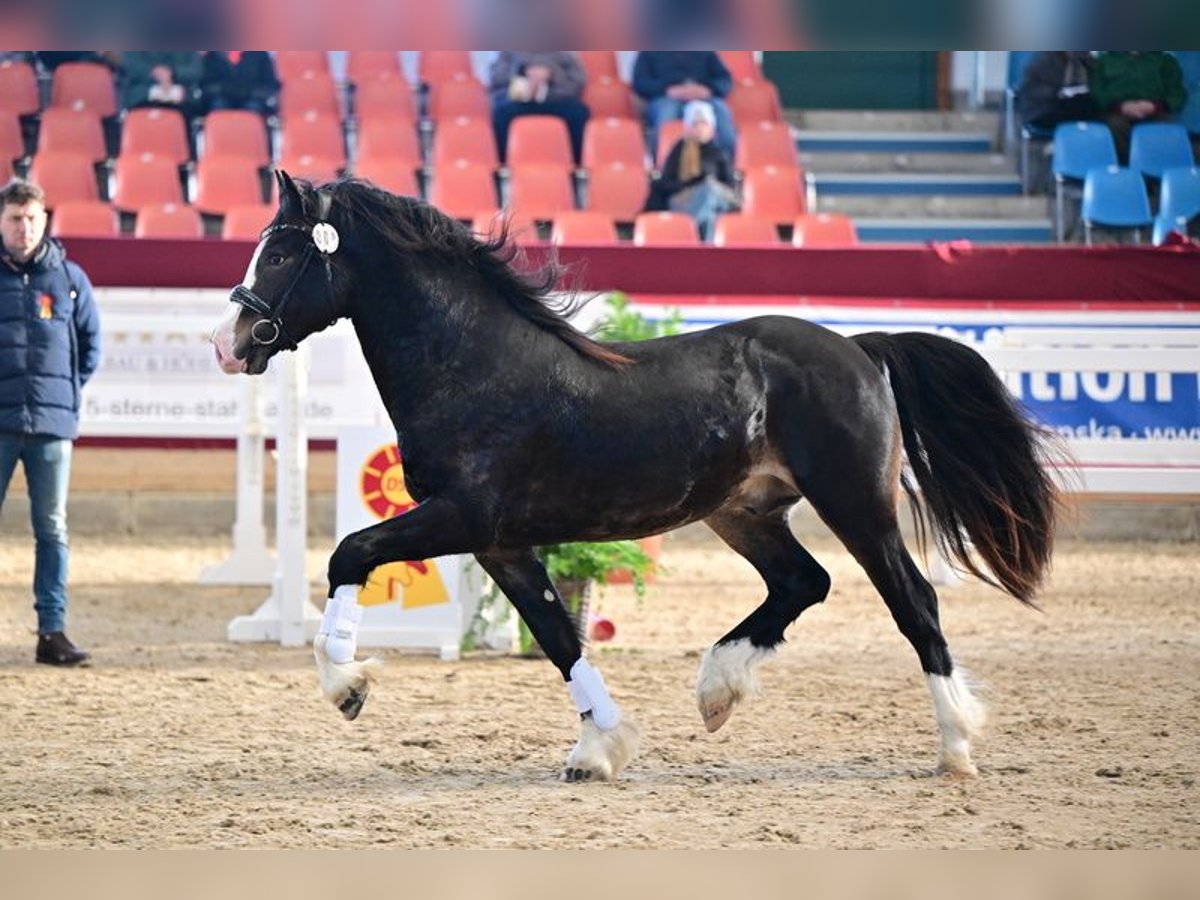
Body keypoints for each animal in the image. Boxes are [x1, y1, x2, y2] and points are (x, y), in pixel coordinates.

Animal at [213, 174, 1060, 782]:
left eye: (281, 255)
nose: (229, 343)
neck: (473, 365)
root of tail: (859, 347)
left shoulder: (464, 517)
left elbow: (349, 553)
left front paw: (348, 686)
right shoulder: (501, 543)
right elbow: (558, 635)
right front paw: (601, 749)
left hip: (856, 504)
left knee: (913, 602)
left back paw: (956, 746)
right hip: (744, 511)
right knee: (802, 582)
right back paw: (718, 690)